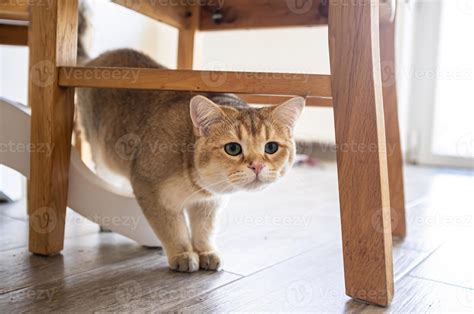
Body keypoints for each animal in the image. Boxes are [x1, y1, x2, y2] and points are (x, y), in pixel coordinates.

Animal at [76, 11, 306, 272]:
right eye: (233, 148)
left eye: (271, 147)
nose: (257, 166)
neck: (195, 180)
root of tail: (94, 60)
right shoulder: (150, 188)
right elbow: (172, 228)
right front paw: (182, 254)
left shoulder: (209, 202)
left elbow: (204, 229)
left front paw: (206, 252)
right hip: (101, 150)